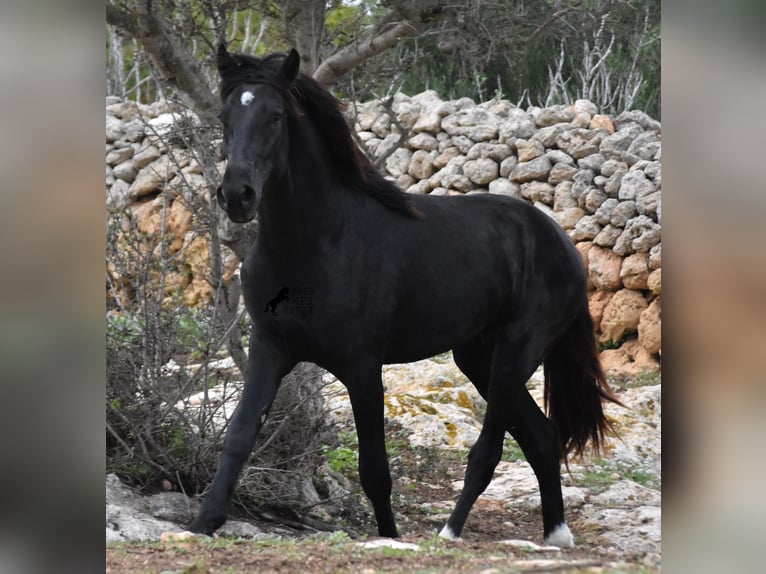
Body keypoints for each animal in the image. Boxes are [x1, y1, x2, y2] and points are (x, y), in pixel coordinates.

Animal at [190, 46, 624, 548]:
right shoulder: (270, 348)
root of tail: (561, 241)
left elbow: (375, 470)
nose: (237, 195)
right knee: (541, 436)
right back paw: (555, 535)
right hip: (478, 357)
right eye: (225, 117)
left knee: (490, 450)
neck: (317, 243)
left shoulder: (362, 367)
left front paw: (390, 537)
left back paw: (450, 533)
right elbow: (239, 437)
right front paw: (203, 523)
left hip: (515, 354)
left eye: (275, 116)